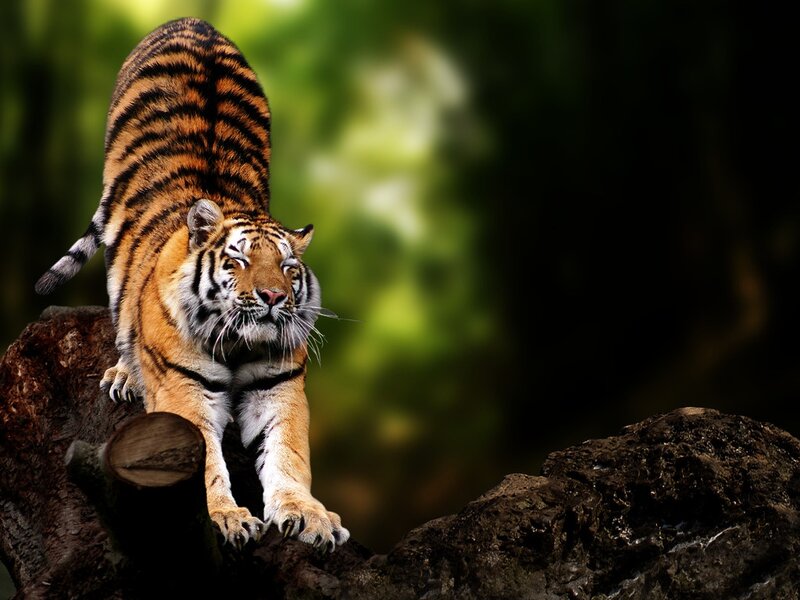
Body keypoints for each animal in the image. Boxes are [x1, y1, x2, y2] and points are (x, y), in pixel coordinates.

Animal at [35, 17, 349, 551]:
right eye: (239, 260)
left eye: (288, 267)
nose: (273, 297)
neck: (241, 344)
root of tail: (193, 22)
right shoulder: (183, 391)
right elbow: (202, 461)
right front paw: (226, 518)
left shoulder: (279, 388)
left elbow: (289, 455)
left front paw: (309, 515)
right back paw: (125, 373)